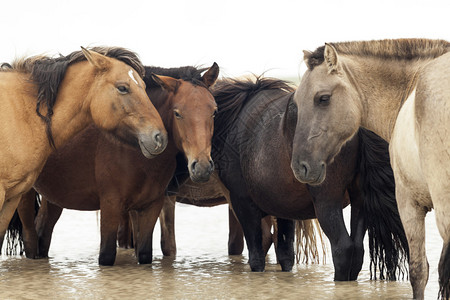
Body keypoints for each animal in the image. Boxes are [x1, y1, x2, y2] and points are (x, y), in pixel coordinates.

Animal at [16, 63, 221, 264]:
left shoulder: (151, 207)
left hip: (54, 198)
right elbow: (106, 255)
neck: (135, 149)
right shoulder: (111, 206)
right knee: (30, 239)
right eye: (177, 113)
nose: (202, 167)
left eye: (214, 111)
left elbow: (144, 253)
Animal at [209, 77, 410, 282]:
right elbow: (285, 253)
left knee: (343, 248)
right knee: (357, 250)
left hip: (326, 201)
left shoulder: (243, 204)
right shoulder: (283, 208)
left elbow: (257, 256)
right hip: (360, 200)